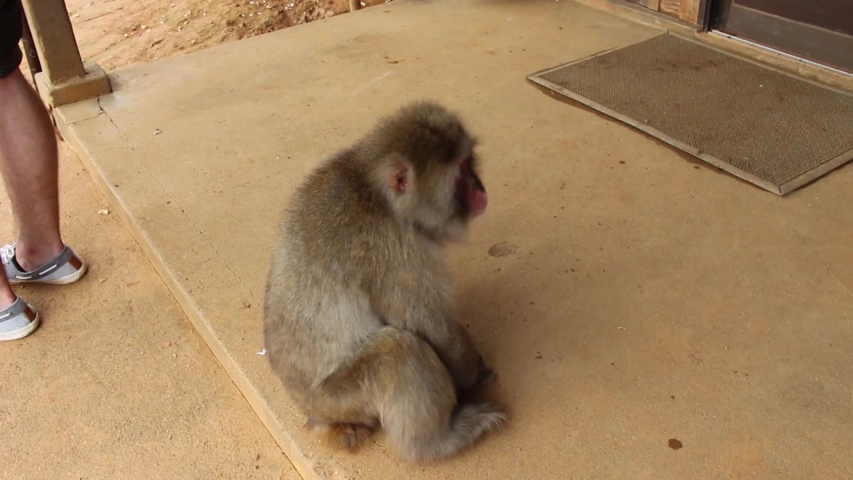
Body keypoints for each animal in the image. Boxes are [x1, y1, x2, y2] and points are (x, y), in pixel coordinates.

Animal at [262, 100, 505, 463]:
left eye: (468, 162)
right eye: (461, 170)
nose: (480, 188)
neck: (375, 191)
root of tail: (315, 413)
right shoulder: (398, 250)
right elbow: (427, 325)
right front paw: (470, 373)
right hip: (343, 398)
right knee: (397, 350)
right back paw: (440, 442)